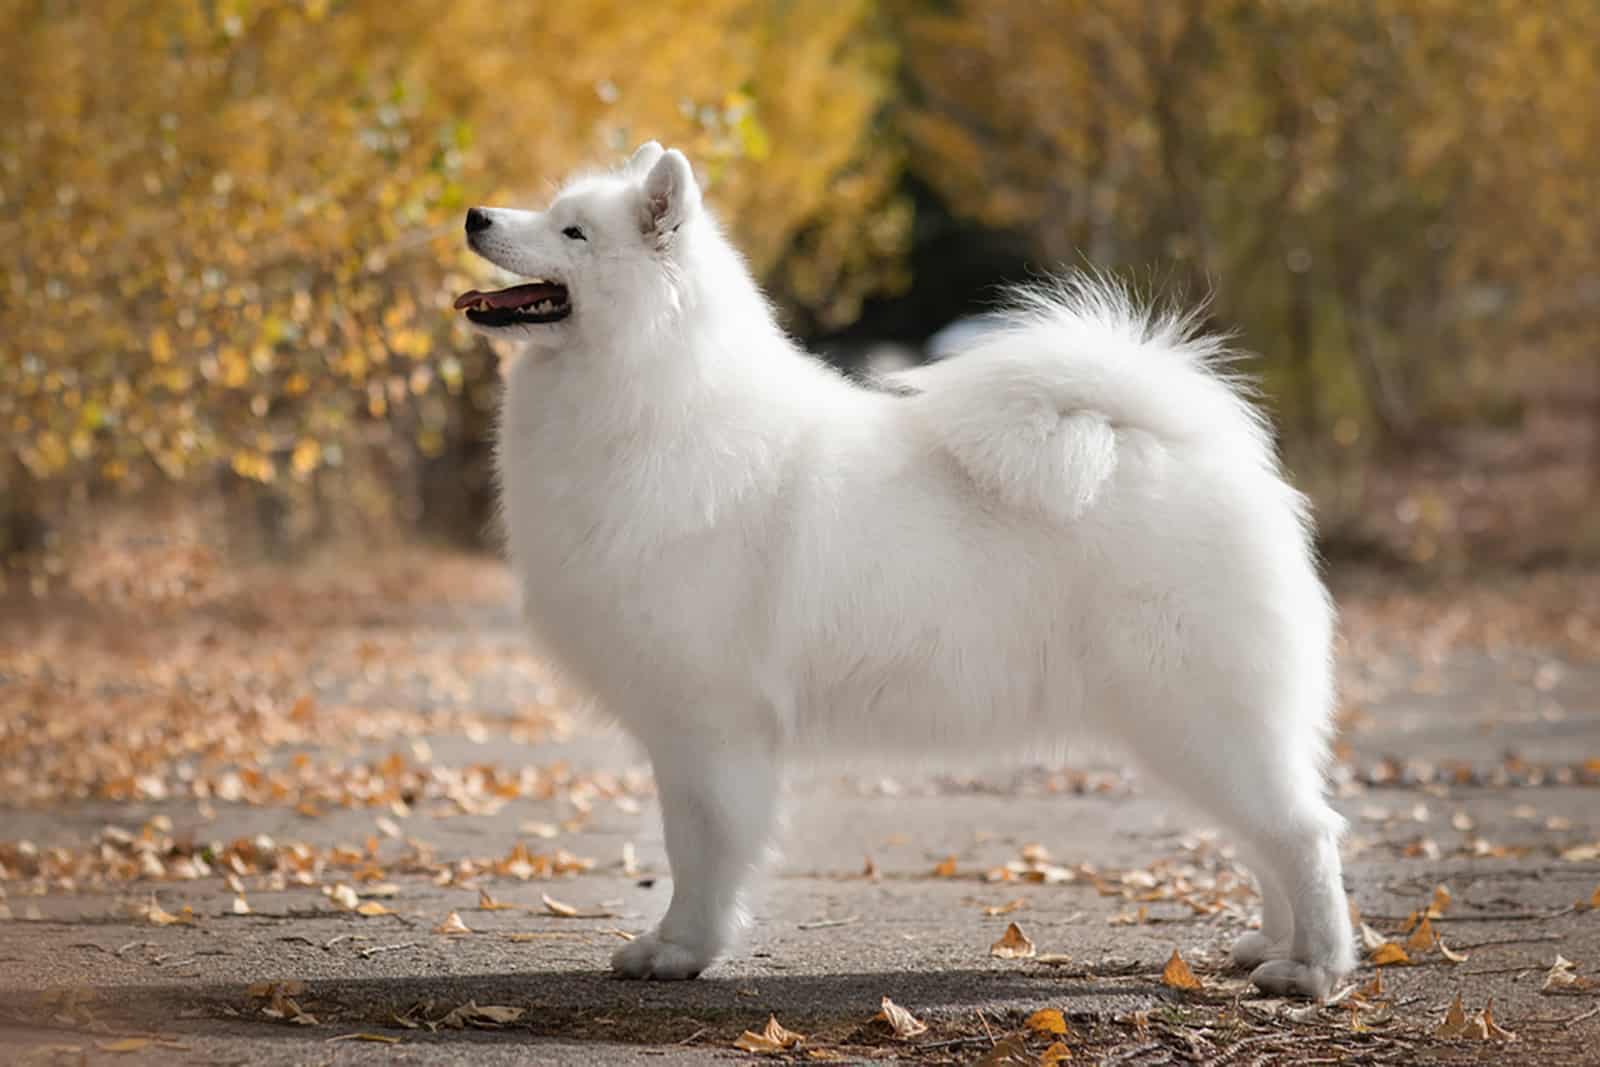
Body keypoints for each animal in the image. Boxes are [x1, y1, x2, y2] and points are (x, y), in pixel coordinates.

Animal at [457, 141, 1356, 1004]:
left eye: (574, 231)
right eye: (551, 209)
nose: (473, 214)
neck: (655, 396)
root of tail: (1193, 447)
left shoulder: (706, 724)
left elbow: (698, 850)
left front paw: (678, 950)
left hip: (1197, 715)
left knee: (1304, 832)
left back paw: (1313, 970)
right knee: (1267, 837)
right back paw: (1269, 946)